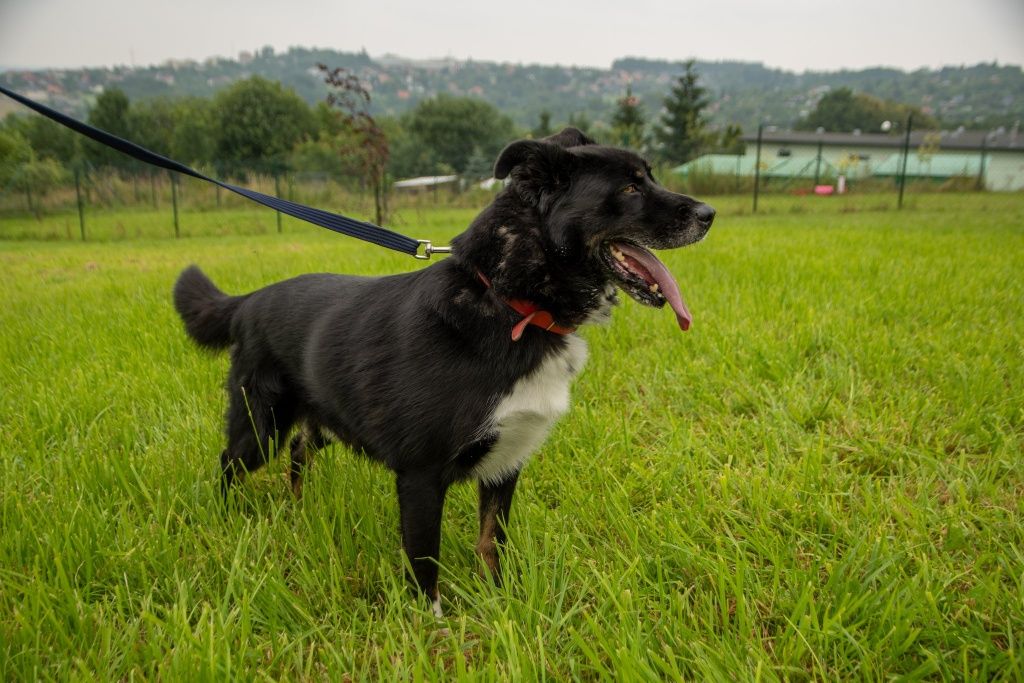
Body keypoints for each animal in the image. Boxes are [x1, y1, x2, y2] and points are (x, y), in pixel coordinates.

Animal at [174, 127, 712, 614]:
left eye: (648, 177)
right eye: (630, 189)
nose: (710, 215)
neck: (509, 303)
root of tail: (248, 300)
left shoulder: (506, 463)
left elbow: (491, 544)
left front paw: (502, 606)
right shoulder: (420, 475)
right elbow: (424, 560)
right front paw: (432, 628)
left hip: (318, 420)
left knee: (300, 450)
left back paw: (299, 508)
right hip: (259, 425)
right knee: (231, 462)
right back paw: (227, 518)